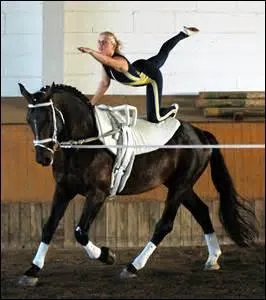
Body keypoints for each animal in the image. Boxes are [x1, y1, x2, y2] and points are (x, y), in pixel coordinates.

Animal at [18, 82, 258, 286]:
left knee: (165, 225)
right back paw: (213, 259)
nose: (43, 158)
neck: (84, 143)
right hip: (180, 185)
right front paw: (32, 271)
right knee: (202, 211)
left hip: (180, 186)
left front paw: (107, 255)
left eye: (49, 119)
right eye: (29, 120)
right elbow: (48, 227)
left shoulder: (97, 194)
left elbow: (80, 232)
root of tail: (200, 134)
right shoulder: (63, 189)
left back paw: (133, 267)